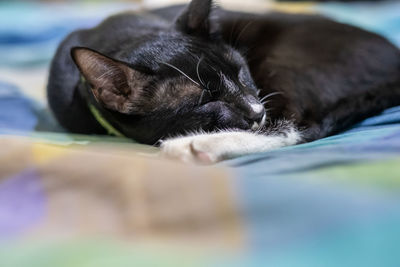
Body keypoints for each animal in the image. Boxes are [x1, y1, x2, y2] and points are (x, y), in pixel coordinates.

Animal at [48, 0, 400, 164]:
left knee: (301, 126)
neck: (121, 37)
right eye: (207, 100)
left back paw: (197, 145)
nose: (257, 111)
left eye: (240, 71)